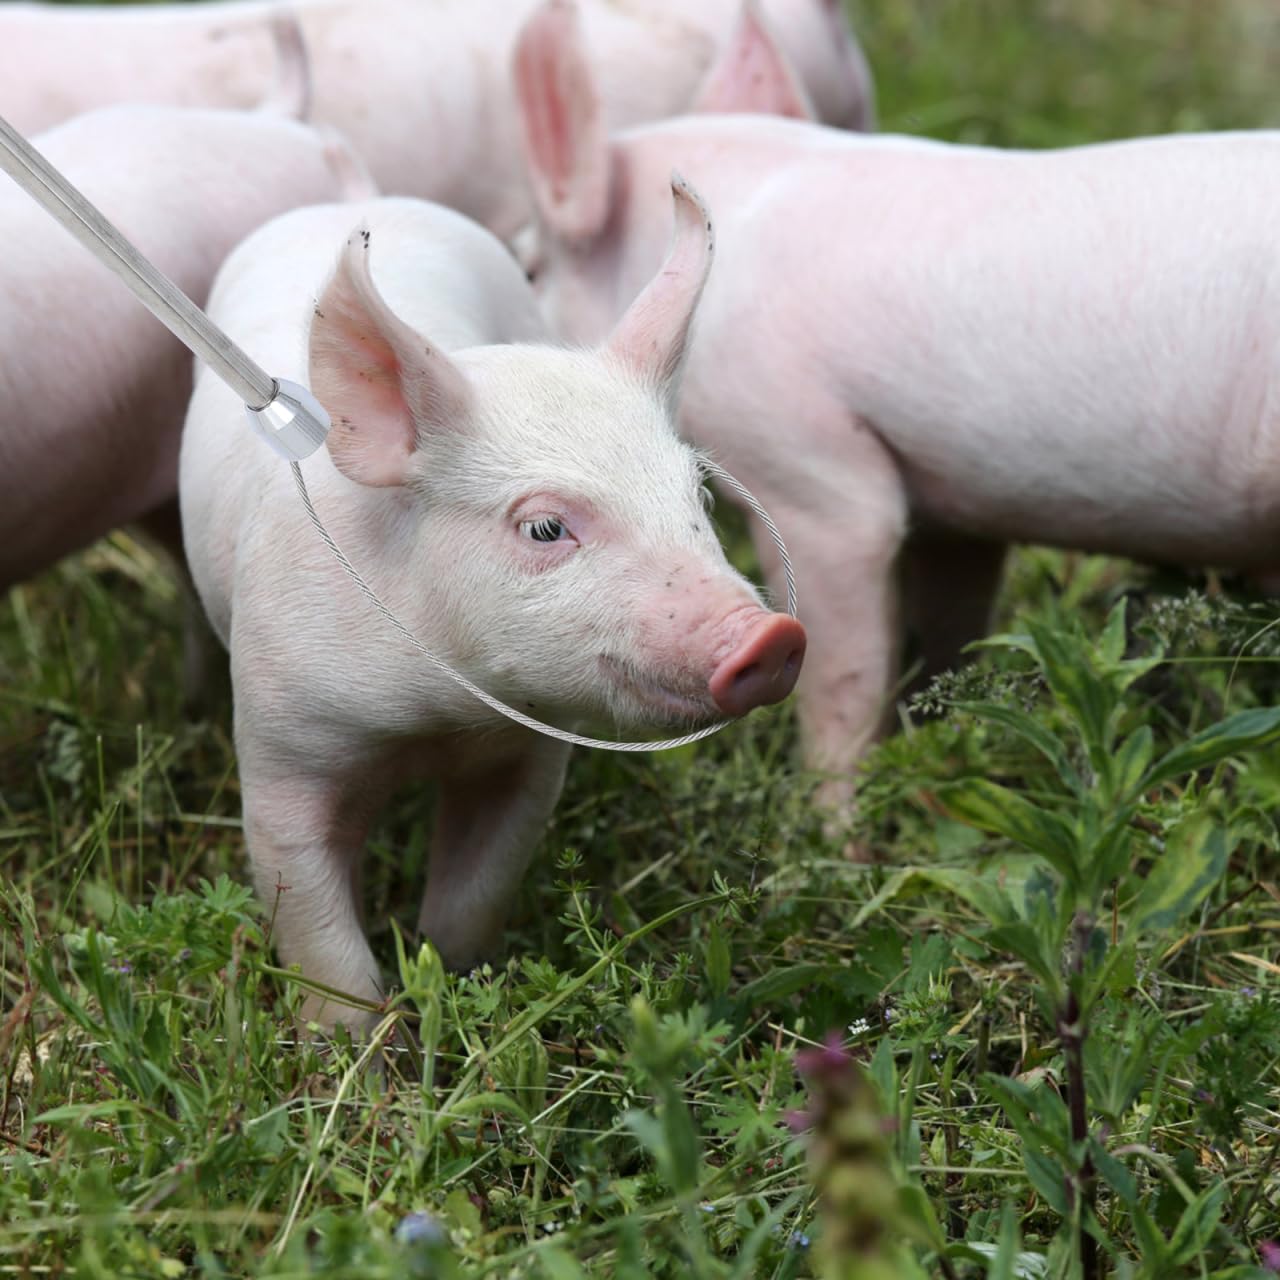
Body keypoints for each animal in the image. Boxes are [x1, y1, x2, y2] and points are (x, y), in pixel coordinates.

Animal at [178, 186, 805, 1030]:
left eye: (700, 499)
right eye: (544, 526)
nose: (771, 636)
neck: (433, 721)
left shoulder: (529, 757)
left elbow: (474, 895)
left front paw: (457, 982)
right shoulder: (283, 738)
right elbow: (317, 936)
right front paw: (355, 1050)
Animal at [513, 11, 1280, 816]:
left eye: (531, 268)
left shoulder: (805, 457)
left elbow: (845, 658)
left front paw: (831, 829)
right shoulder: (960, 503)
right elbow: (950, 619)